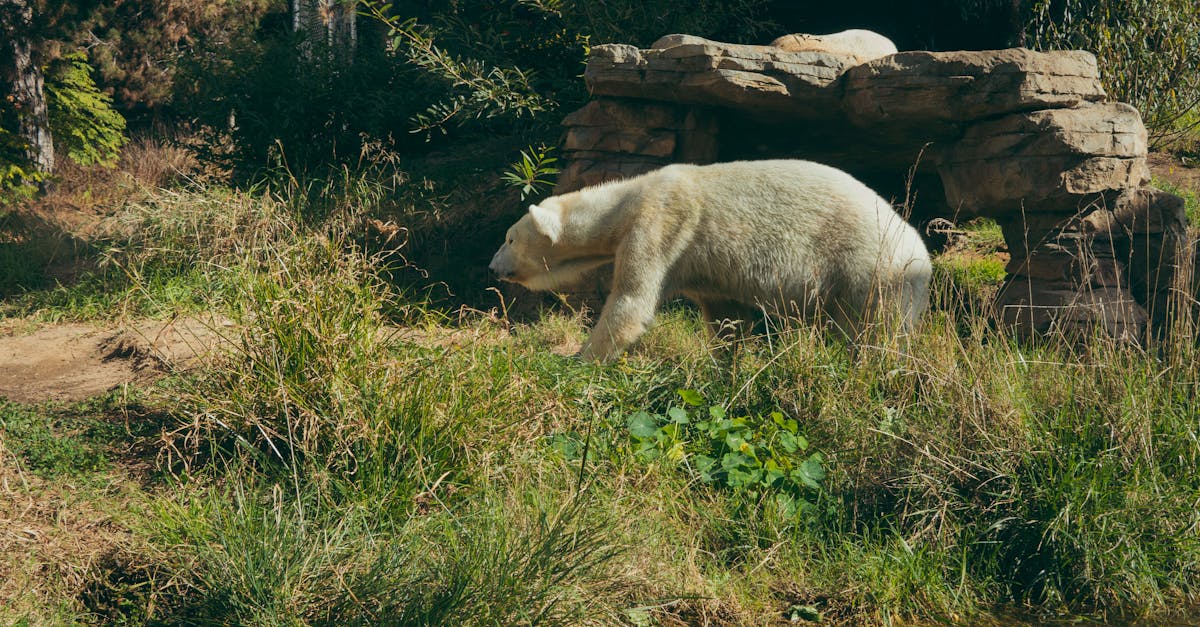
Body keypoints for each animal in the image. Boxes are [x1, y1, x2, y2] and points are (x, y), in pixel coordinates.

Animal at [487, 158, 926, 357]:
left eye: (508, 238)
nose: (492, 267)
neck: (625, 203)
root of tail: (920, 253)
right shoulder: (703, 266)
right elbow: (725, 315)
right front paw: (728, 359)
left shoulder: (661, 225)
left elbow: (631, 303)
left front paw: (579, 357)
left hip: (870, 270)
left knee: (876, 331)